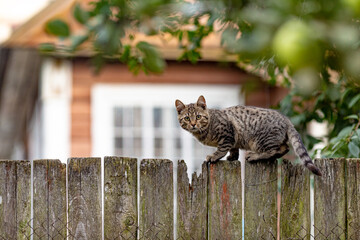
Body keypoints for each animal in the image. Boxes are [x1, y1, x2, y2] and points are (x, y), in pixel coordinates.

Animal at [176, 95, 322, 176]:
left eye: (198, 117)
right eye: (187, 118)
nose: (193, 124)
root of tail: (286, 119)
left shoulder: (227, 132)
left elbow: (222, 148)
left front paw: (214, 156)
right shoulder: (233, 138)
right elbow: (233, 148)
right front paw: (232, 157)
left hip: (259, 140)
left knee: (272, 150)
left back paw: (254, 156)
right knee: (284, 148)